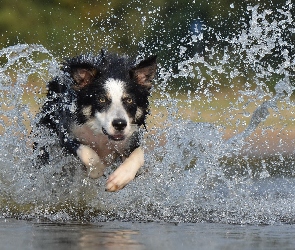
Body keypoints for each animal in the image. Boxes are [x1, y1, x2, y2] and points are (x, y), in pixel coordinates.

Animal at [37, 50, 157, 191]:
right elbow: (87, 152)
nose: (120, 124)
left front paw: (119, 178)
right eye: (102, 99)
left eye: (129, 100)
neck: (101, 134)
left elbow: (139, 154)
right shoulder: (66, 132)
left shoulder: (131, 138)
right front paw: (97, 169)